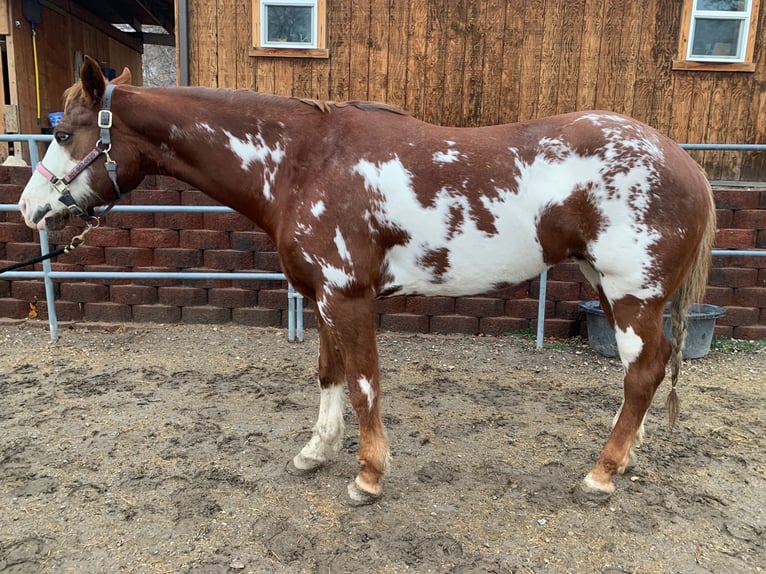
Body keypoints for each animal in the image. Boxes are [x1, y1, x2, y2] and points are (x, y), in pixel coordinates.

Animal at [19, 56, 716, 506]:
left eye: (63, 132)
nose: (28, 209)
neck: (304, 161)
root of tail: (686, 164)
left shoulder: (349, 297)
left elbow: (362, 385)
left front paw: (368, 476)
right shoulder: (323, 296)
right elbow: (329, 374)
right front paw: (316, 452)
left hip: (631, 293)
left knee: (643, 371)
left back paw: (601, 474)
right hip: (610, 287)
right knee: (645, 371)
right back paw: (627, 457)